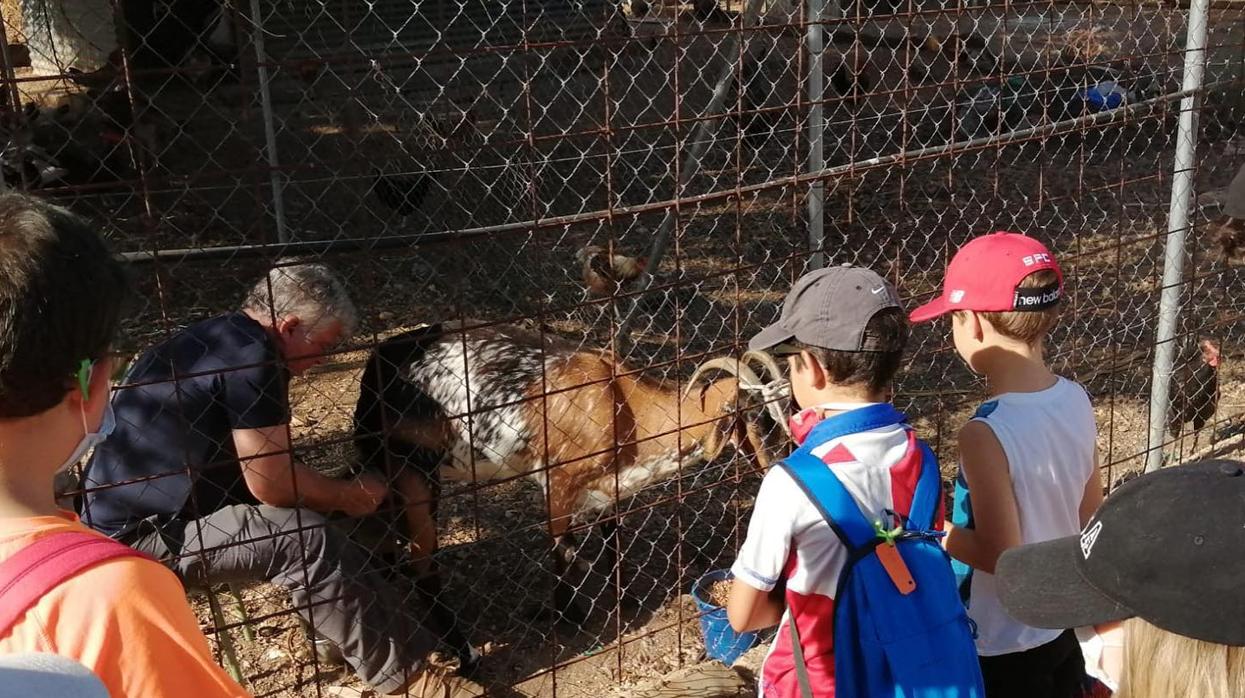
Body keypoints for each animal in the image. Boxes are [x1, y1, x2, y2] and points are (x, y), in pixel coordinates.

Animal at [353, 318, 786, 617]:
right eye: (756, 416)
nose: (777, 460)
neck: (625, 408)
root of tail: (375, 366)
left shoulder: (610, 486)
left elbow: (613, 540)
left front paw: (625, 600)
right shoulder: (557, 480)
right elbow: (563, 546)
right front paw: (567, 614)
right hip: (411, 468)